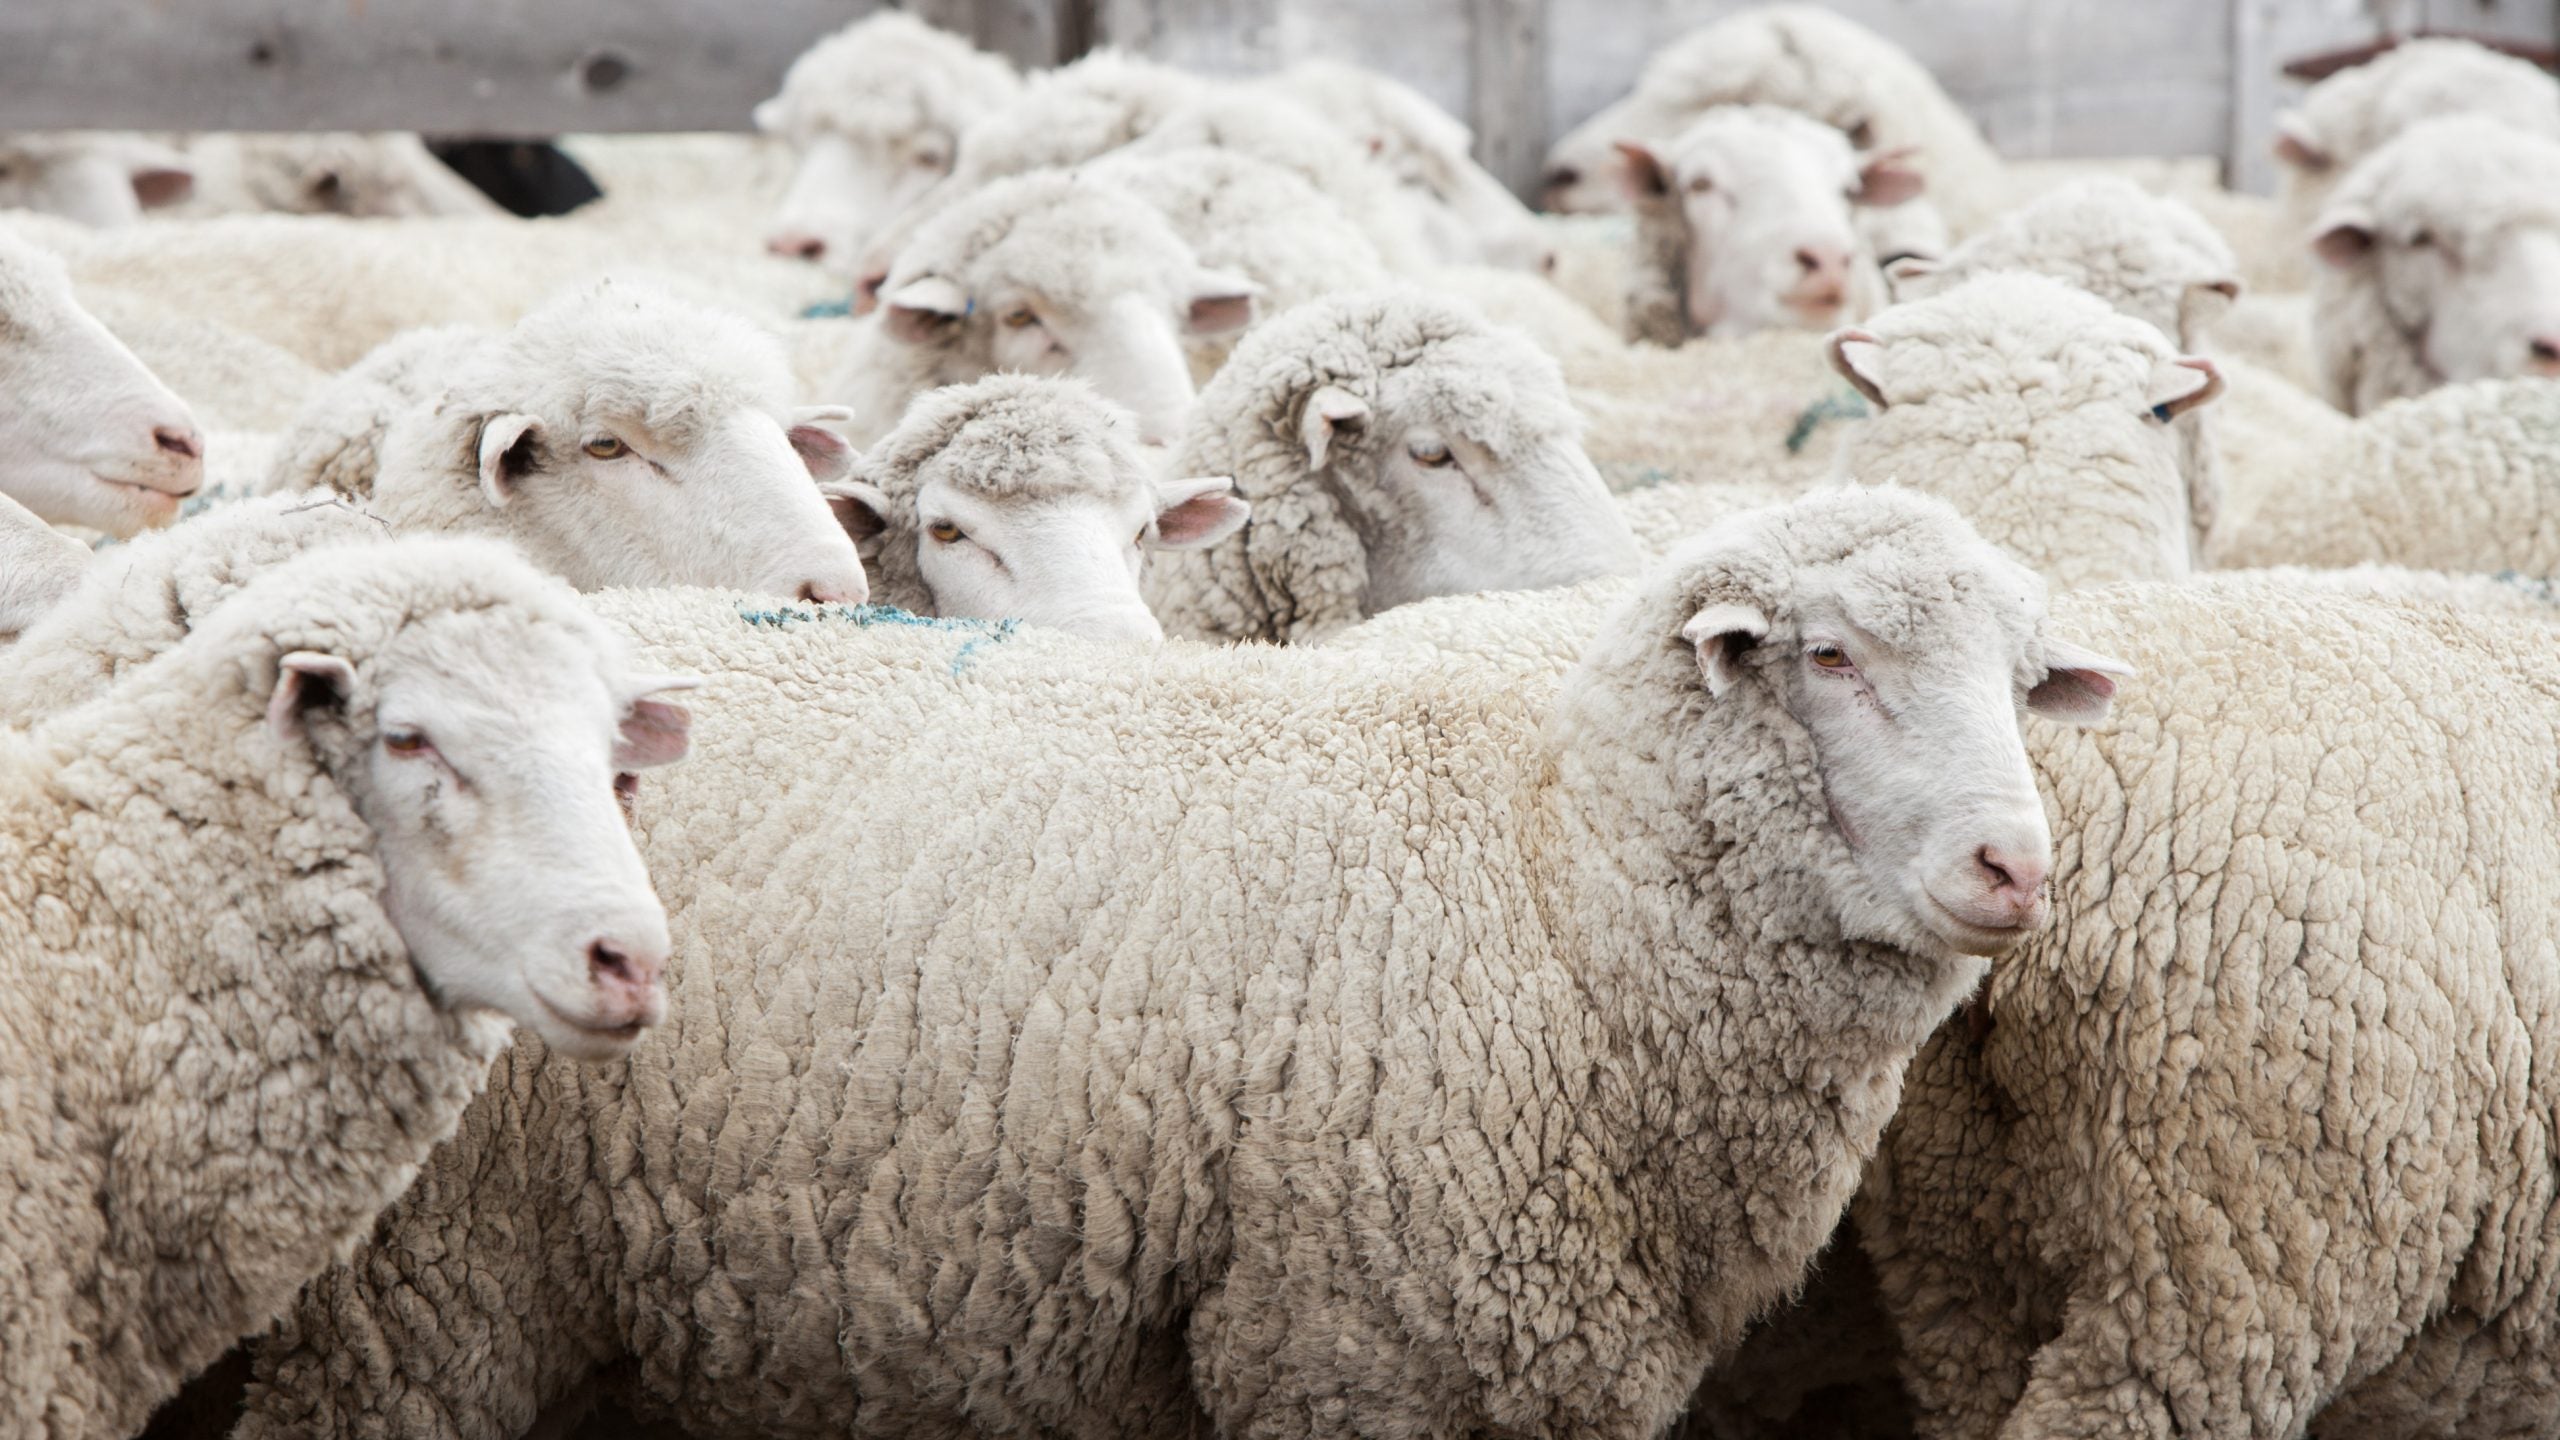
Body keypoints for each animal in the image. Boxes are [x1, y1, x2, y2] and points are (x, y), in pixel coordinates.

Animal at [231, 484, 2129, 1440]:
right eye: (1830, 657)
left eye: (2025, 680)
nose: (2015, 868)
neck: (1557, 892)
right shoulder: (1354, 1346)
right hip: (433, 1288)